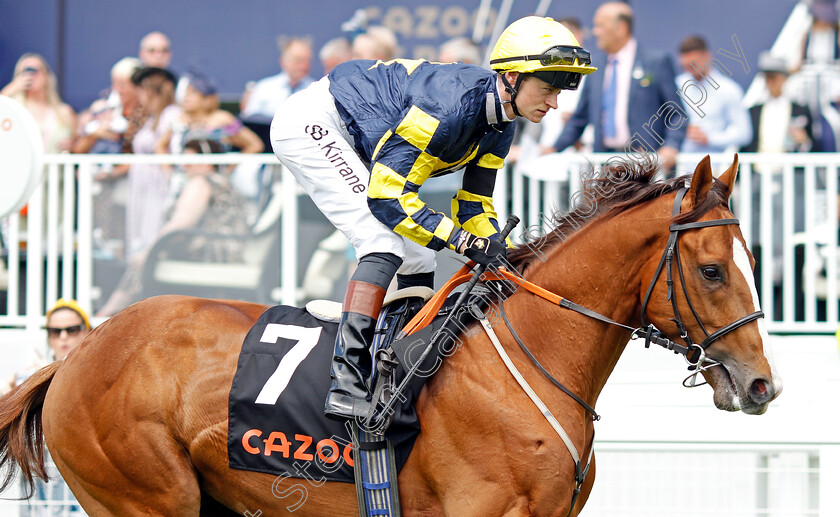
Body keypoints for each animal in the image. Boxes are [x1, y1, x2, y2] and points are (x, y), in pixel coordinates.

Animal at [0, 155, 780, 512]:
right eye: (713, 269)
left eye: (753, 260)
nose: (761, 385)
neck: (523, 365)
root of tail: (76, 354)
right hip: (143, 493)